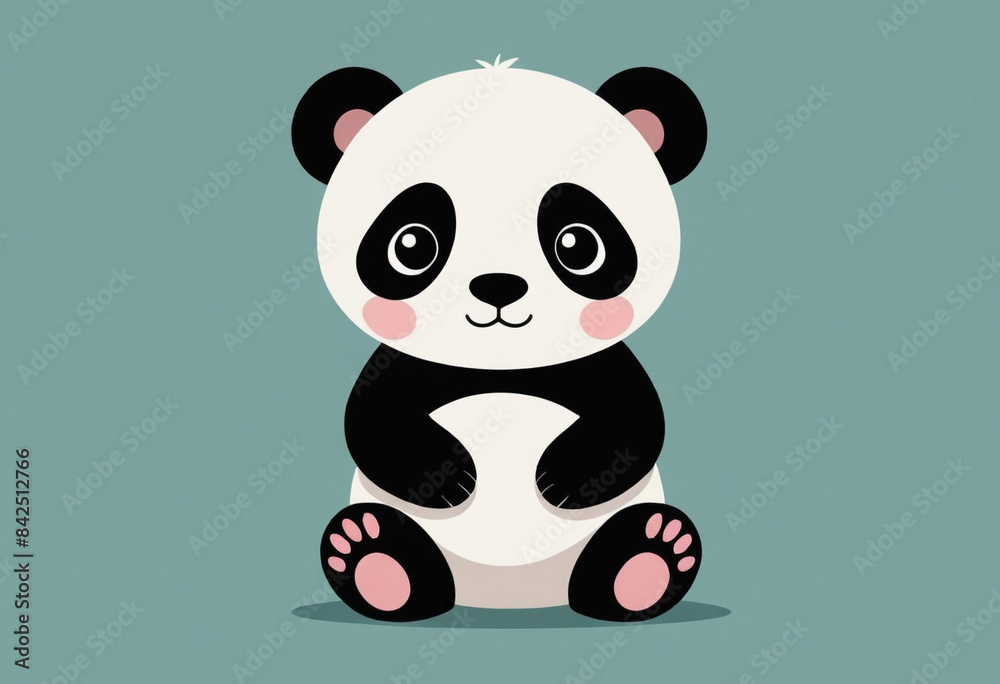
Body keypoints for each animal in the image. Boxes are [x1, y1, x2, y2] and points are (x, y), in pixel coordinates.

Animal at [291, 56, 708, 622]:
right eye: (412, 244)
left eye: (579, 244)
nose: (498, 287)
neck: (500, 365)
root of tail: (509, 594)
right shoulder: (400, 366)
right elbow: (371, 420)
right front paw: (451, 480)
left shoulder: (602, 365)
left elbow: (635, 419)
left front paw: (560, 481)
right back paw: (375, 559)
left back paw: (648, 560)